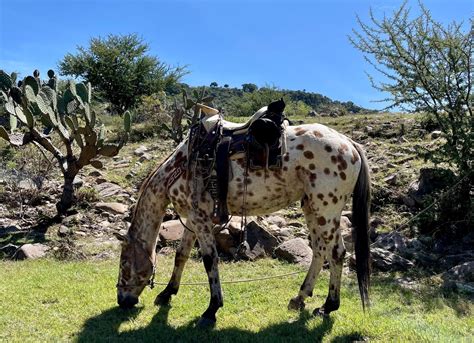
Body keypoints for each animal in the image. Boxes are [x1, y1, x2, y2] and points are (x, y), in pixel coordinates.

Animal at [115, 101, 370, 328]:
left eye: (124, 263)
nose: (122, 301)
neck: (178, 167)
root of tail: (350, 144)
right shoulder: (194, 218)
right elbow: (181, 255)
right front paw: (167, 293)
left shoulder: (201, 219)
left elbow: (209, 259)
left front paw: (211, 309)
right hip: (312, 208)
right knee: (319, 250)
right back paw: (299, 299)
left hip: (326, 210)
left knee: (336, 253)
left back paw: (328, 306)